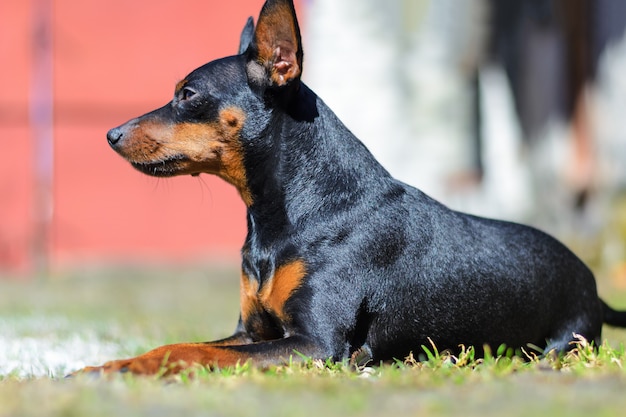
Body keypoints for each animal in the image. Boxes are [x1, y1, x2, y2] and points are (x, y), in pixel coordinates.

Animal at [78, 0, 624, 376]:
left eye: (188, 95)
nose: (111, 134)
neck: (288, 213)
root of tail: (595, 288)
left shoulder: (317, 345)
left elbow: (184, 348)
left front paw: (122, 369)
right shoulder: (249, 333)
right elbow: (182, 345)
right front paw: (107, 365)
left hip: (564, 342)